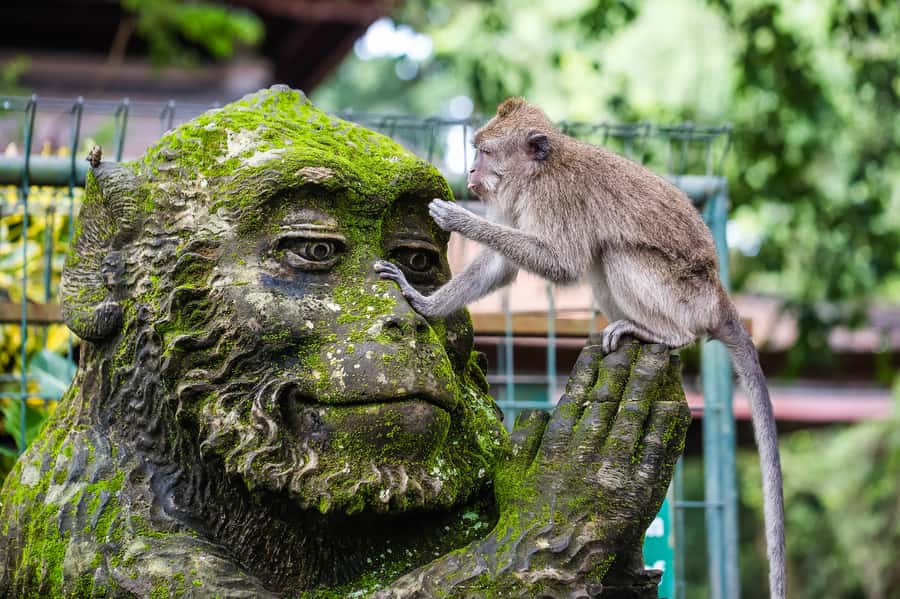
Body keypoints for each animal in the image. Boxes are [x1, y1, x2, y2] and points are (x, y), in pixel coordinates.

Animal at [375, 97, 786, 599]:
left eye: (485, 152)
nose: (471, 170)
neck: (538, 173)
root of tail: (718, 295)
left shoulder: (554, 198)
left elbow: (563, 263)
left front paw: (459, 218)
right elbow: (503, 267)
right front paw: (424, 303)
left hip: (683, 297)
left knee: (613, 254)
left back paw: (664, 334)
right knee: (599, 260)